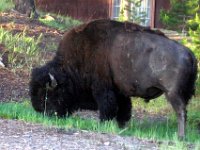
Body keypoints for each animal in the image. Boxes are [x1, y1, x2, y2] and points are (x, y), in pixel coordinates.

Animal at [29, 19, 197, 139]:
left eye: (46, 94)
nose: (40, 110)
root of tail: (189, 54)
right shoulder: (120, 92)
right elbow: (124, 110)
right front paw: (121, 127)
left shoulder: (103, 89)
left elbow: (107, 107)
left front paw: (102, 124)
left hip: (173, 94)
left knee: (181, 112)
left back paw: (181, 137)